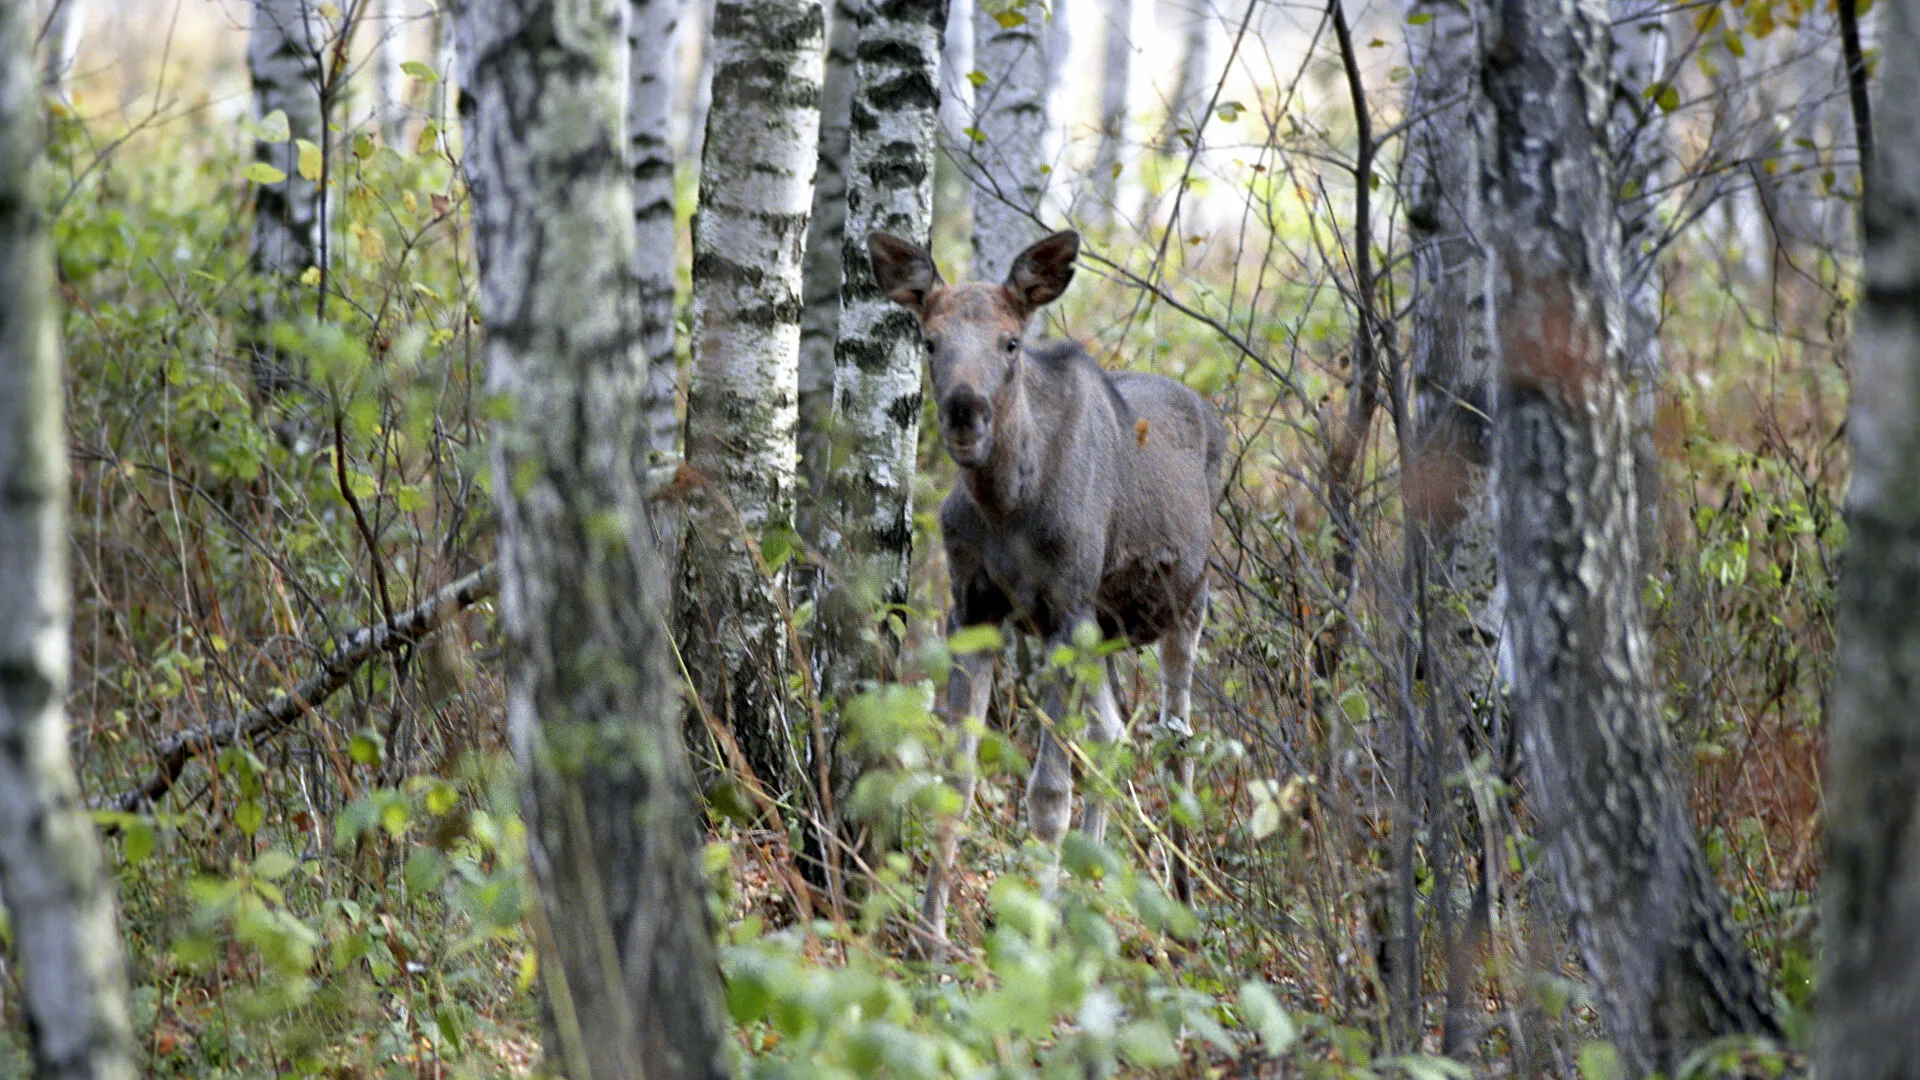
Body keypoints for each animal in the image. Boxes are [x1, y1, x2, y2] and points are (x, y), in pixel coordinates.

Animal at [867, 224, 1221, 941]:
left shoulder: (1064, 611)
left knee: (1177, 737)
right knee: (1114, 734)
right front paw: (929, 935)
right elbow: (956, 778)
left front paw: (1030, 939)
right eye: (930, 340)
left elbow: (1048, 795)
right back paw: (1083, 894)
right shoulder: (973, 607)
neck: (1010, 506)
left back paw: (1181, 903)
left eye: (1011, 342)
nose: (965, 411)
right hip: (1104, 632)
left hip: (1186, 602)